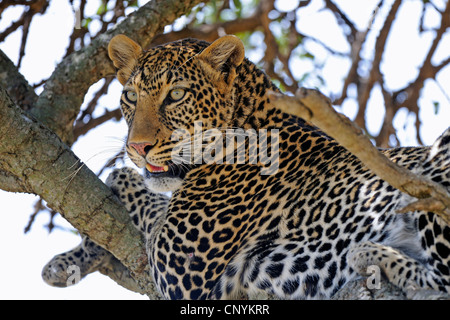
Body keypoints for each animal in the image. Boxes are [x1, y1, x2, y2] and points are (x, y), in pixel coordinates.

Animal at [42, 33, 450, 298]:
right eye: (130, 96)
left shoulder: (177, 262)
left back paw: (371, 255)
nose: (137, 147)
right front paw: (66, 262)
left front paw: (120, 177)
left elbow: (142, 196)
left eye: (176, 95)